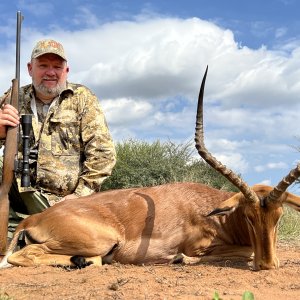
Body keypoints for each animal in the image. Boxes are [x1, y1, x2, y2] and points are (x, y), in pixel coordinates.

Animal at [0, 67, 300, 270]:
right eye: (249, 216)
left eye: (279, 216)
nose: (267, 264)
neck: (214, 212)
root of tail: (33, 219)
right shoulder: (200, 245)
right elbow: (240, 251)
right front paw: (181, 259)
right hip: (101, 241)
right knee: (25, 256)